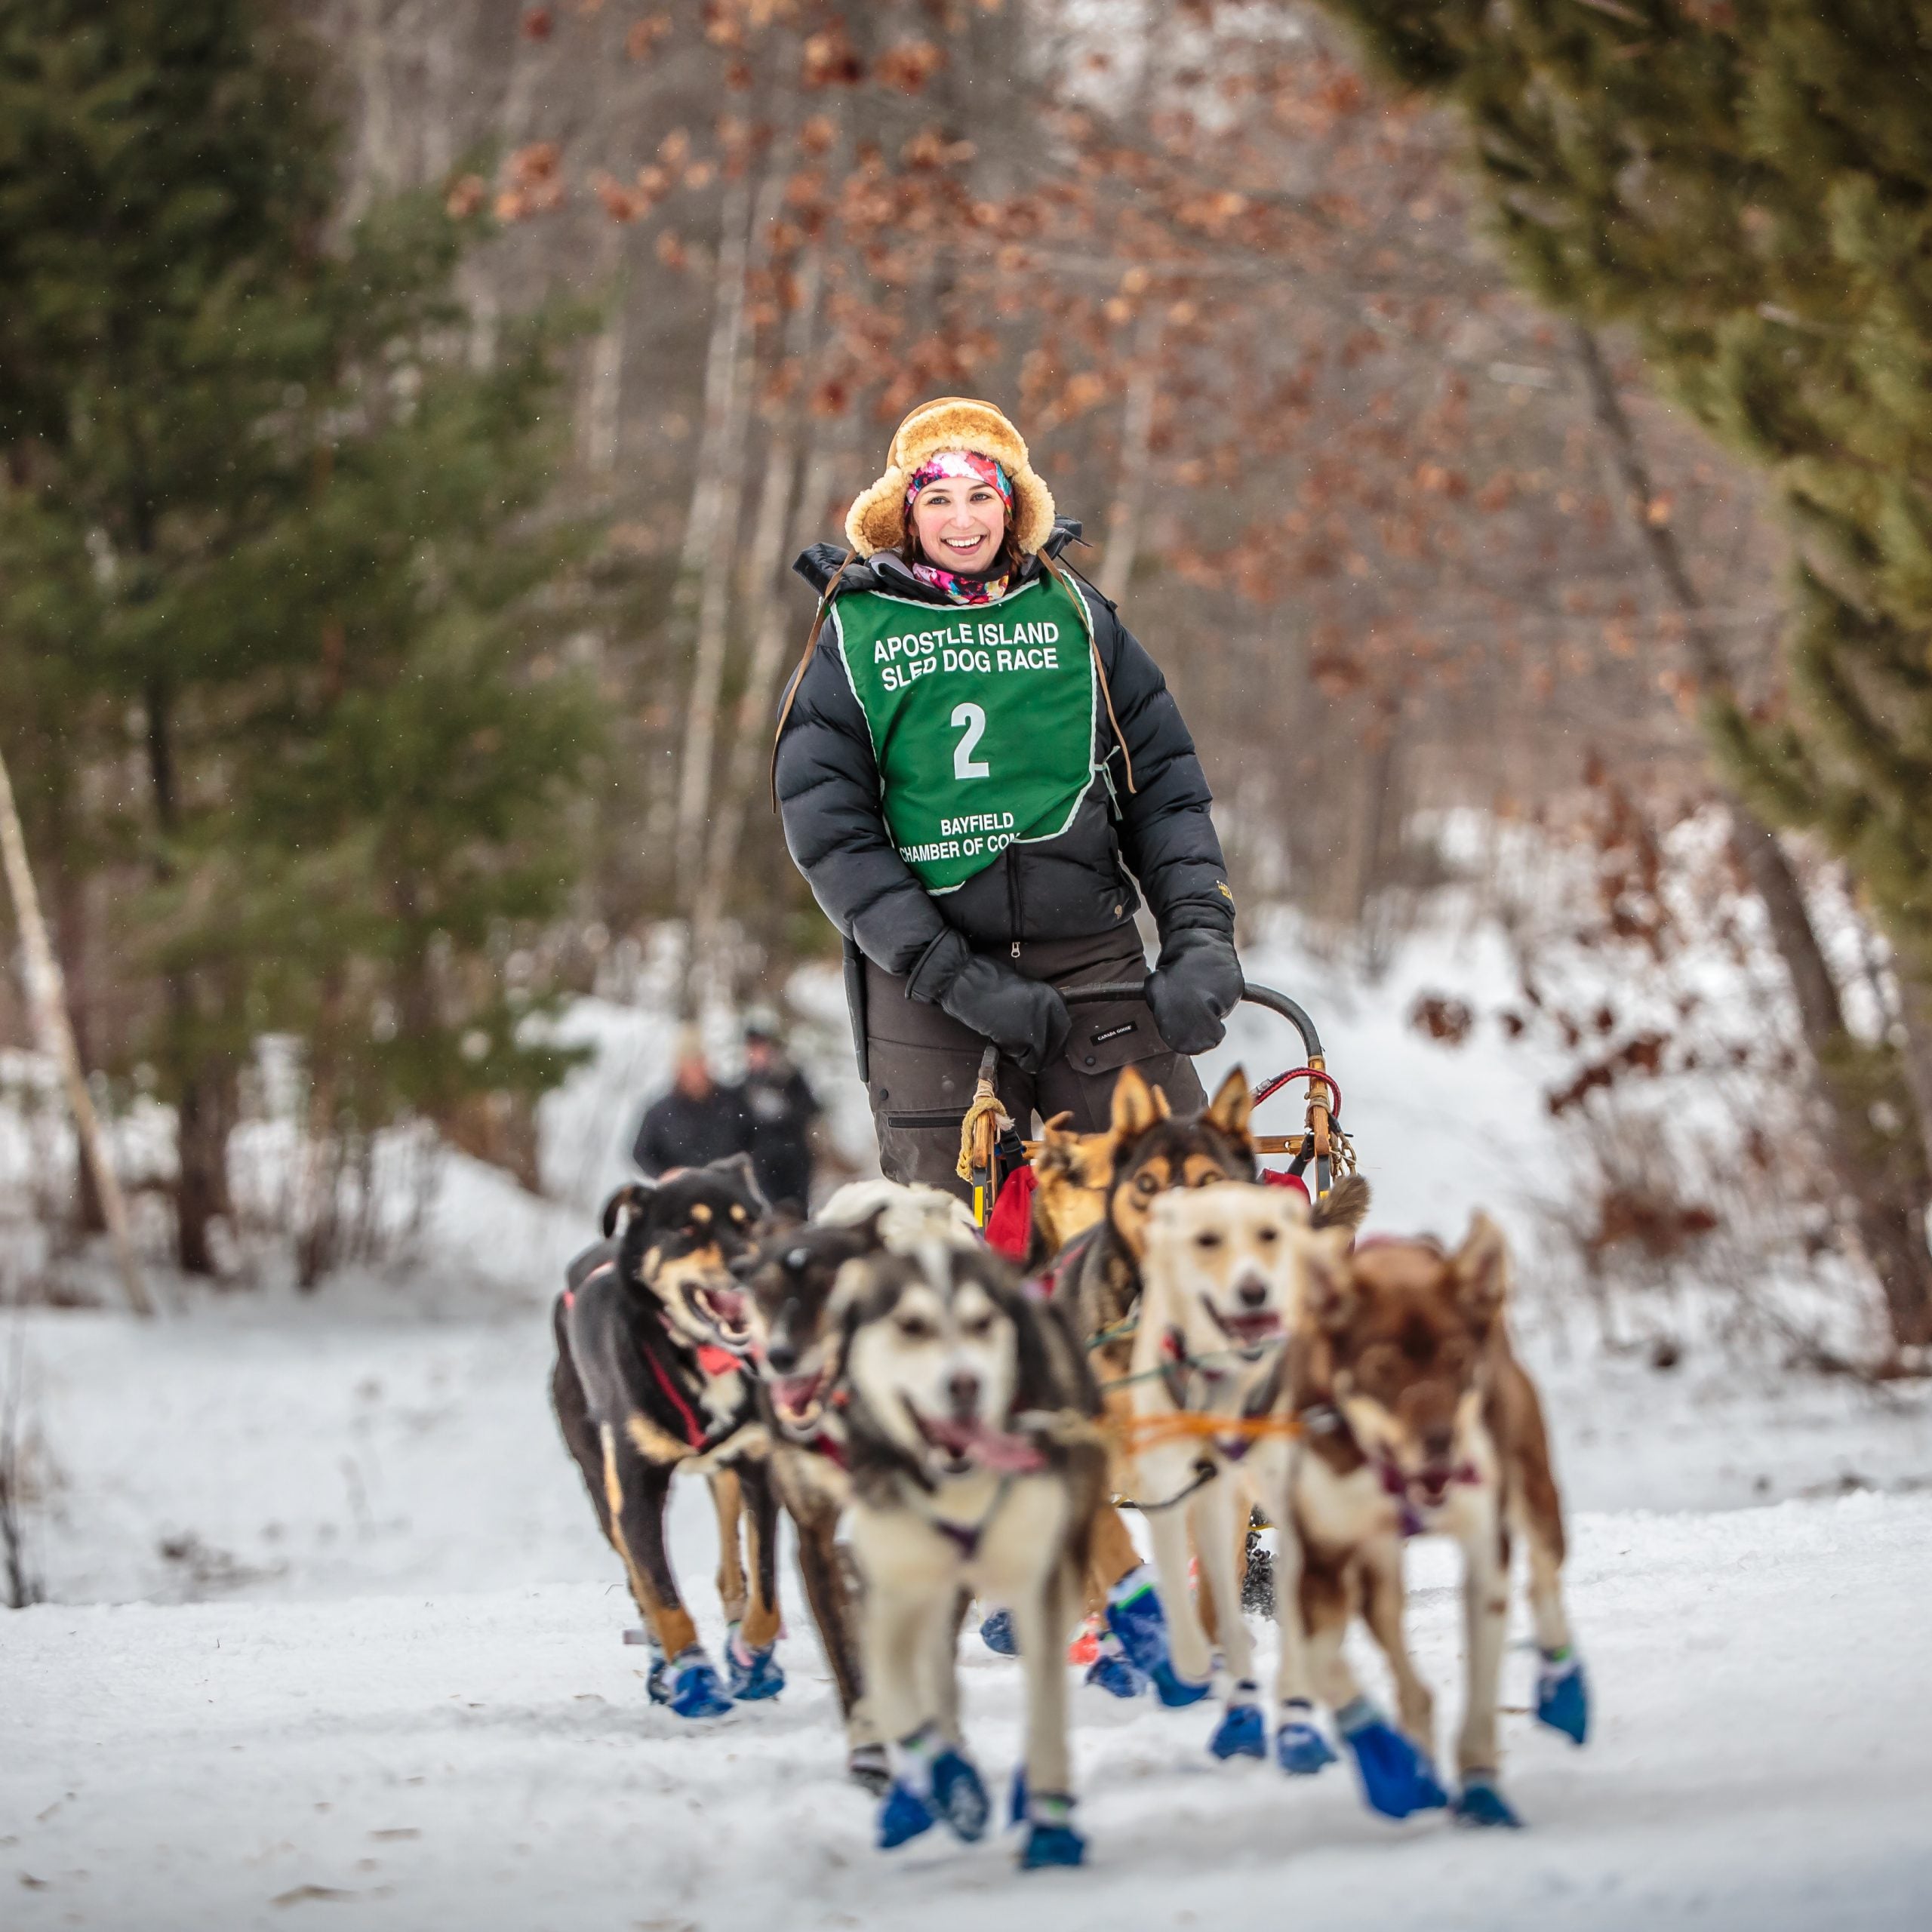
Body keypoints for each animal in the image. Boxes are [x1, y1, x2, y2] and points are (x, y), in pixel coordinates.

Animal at [549, 1159, 780, 1723]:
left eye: (747, 1221)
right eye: (687, 1230)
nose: (744, 1265)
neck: (698, 1356)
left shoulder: (758, 1467)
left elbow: (766, 1587)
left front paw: (752, 1658)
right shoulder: (634, 1488)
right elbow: (662, 1594)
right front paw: (693, 1673)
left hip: (725, 1474)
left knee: (730, 1568)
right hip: (601, 1482)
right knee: (639, 1581)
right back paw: (663, 1668)